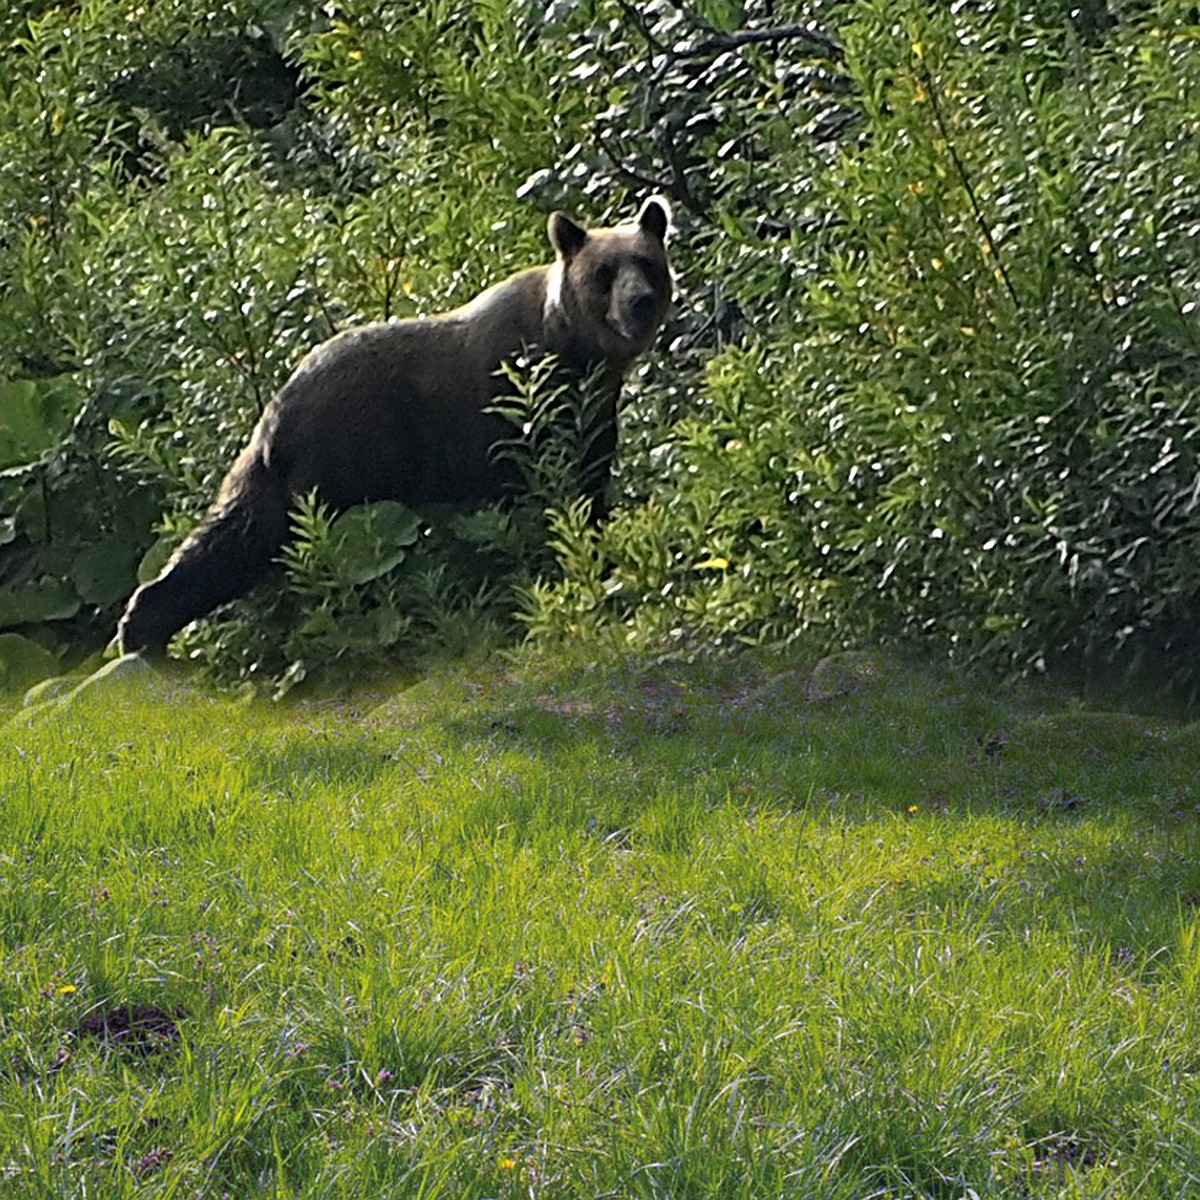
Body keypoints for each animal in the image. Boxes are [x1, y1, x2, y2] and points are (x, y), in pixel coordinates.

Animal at [118, 201, 676, 662]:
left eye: (647, 262)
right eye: (604, 272)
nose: (640, 301)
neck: (575, 350)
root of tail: (276, 411)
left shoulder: (593, 412)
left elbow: (588, 482)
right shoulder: (513, 405)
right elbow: (537, 488)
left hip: (282, 473)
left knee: (236, 535)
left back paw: (144, 621)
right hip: (351, 455)